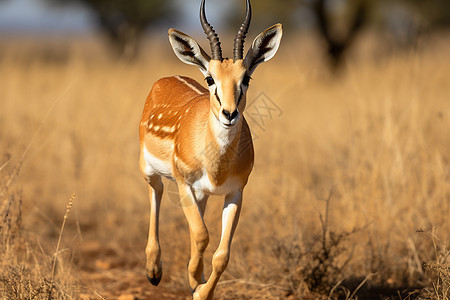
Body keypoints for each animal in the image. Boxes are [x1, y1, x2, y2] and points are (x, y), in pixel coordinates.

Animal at [139, 0, 284, 298]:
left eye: (247, 78)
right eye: (210, 79)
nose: (229, 114)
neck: (217, 165)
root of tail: (168, 77)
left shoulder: (236, 192)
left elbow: (221, 254)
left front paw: (200, 288)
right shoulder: (183, 183)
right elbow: (202, 234)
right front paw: (194, 280)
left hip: (201, 194)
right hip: (151, 172)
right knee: (156, 195)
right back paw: (154, 271)